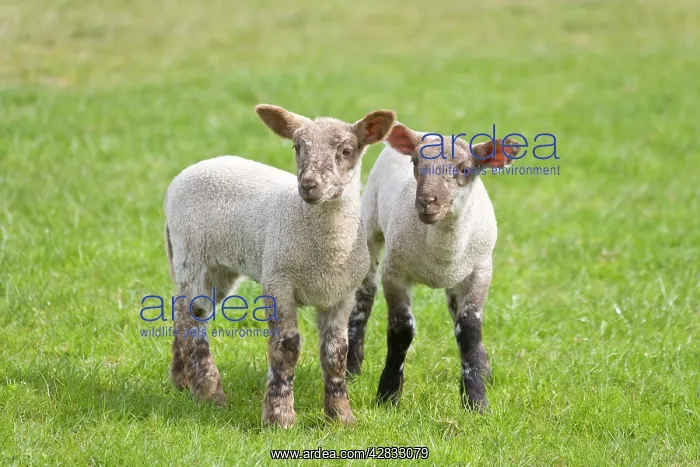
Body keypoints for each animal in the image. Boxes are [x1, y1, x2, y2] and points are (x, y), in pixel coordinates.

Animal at [163, 104, 396, 427]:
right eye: (297, 147)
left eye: (346, 150)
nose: (309, 185)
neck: (327, 250)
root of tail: (188, 172)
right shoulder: (278, 282)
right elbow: (286, 347)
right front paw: (280, 416)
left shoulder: (341, 294)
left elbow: (336, 352)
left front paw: (341, 415)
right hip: (192, 255)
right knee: (192, 320)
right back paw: (210, 393)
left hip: (219, 269)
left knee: (182, 311)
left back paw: (182, 381)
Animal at [346, 122, 519, 411]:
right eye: (415, 163)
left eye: (465, 169)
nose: (427, 201)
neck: (440, 251)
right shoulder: (395, 273)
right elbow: (401, 329)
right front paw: (388, 394)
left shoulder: (480, 272)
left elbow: (469, 329)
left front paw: (476, 399)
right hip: (369, 223)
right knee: (364, 297)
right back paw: (351, 367)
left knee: (456, 312)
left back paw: (484, 370)